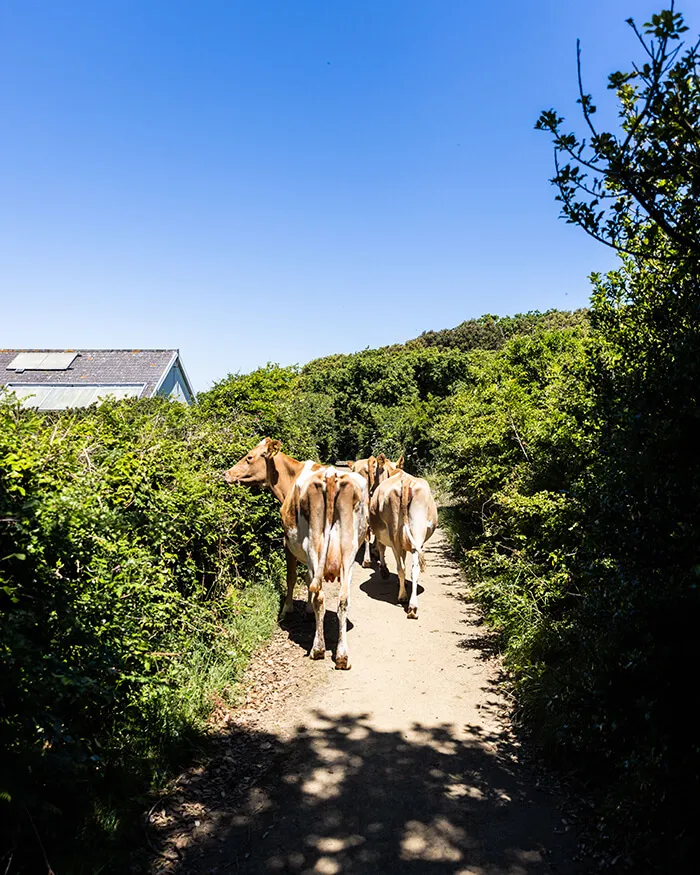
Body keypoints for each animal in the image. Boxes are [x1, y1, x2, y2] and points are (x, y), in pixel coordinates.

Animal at [224, 438, 368, 669]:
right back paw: (342, 655)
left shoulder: (287, 543)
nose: (226, 474)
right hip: (349, 550)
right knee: (343, 599)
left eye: (249, 457)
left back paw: (317, 649)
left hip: (314, 546)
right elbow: (308, 580)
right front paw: (307, 610)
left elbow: (291, 577)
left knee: (320, 596)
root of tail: (331, 475)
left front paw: (287, 609)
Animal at [369, 468, 438, 619]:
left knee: (400, 567)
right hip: (417, 533)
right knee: (414, 569)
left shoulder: (381, 536)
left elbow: (381, 548)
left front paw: (384, 571)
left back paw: (402, 596)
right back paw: (412, 606)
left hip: (394, 534)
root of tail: (405, 481)